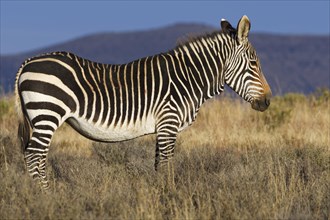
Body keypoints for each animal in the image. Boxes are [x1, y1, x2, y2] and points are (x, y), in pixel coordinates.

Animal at [15, 15, 272, 189]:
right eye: (253, 64)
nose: (267, 101)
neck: (188, 78)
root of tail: (28, 62)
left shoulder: (163, 127)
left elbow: (159, 165)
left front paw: (161, 194)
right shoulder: (169, 122)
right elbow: (167, 165)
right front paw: (170, 197)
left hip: (41, 117)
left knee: (33, 157)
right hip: (47, 113)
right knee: (34, 156)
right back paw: (46, 197)